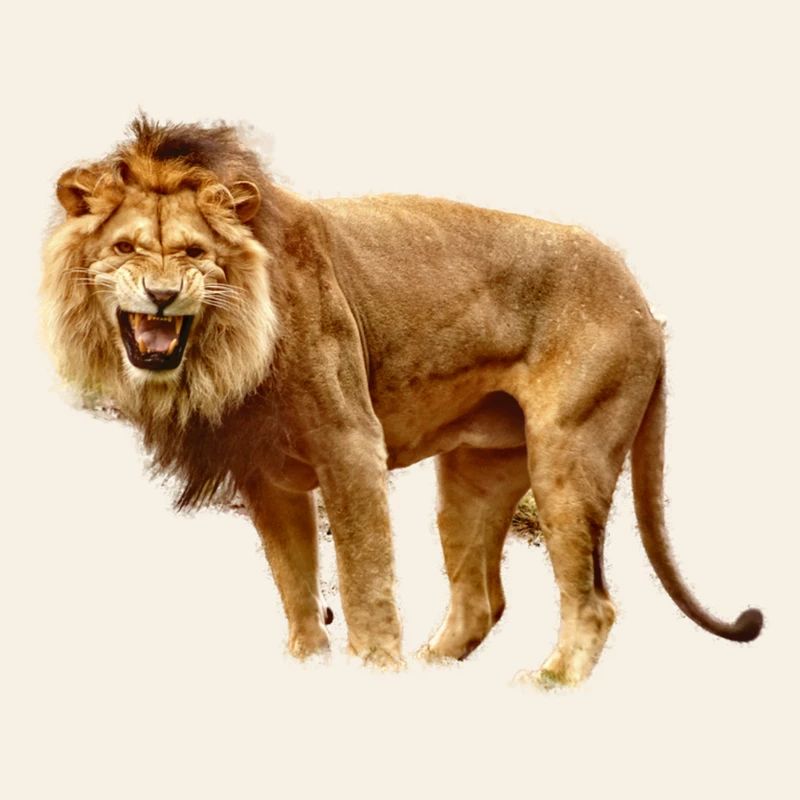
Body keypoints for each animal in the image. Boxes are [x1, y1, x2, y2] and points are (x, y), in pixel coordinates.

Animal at [41, 117, 762, 686]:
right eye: (125, 248)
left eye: (195, 252)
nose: (162, 296)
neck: (223, 351)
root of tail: (645, 307)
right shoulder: (266, 476)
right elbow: (296, 584)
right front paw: (310, 665)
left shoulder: (350, 445)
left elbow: (364, 580)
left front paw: (374, 668)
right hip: (473, 477)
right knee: (480, 602)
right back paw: (431, 671)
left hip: (569, 455)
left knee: (591, 602)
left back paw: (546, 681)